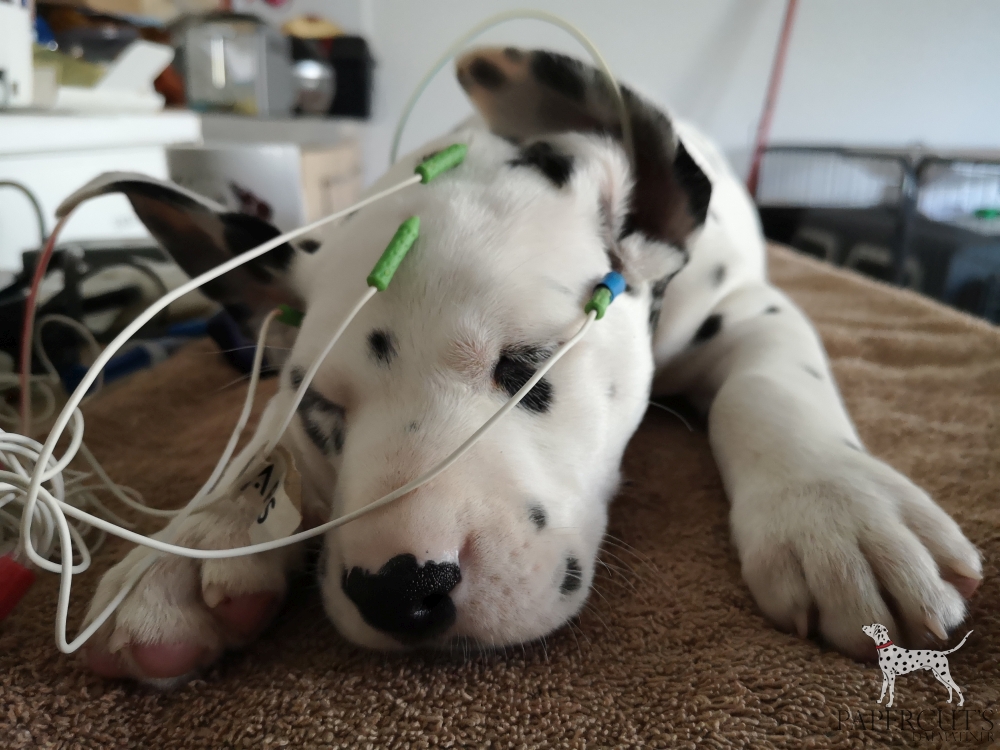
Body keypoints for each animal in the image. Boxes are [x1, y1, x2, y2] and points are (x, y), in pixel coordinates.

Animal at [59, 47, 982, 687]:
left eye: (528, 365)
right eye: (324, 410)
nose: (399, 590)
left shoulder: (748, 310)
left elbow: (770, 390)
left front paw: (839, 507)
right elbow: (260, 441)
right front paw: (191, 545)